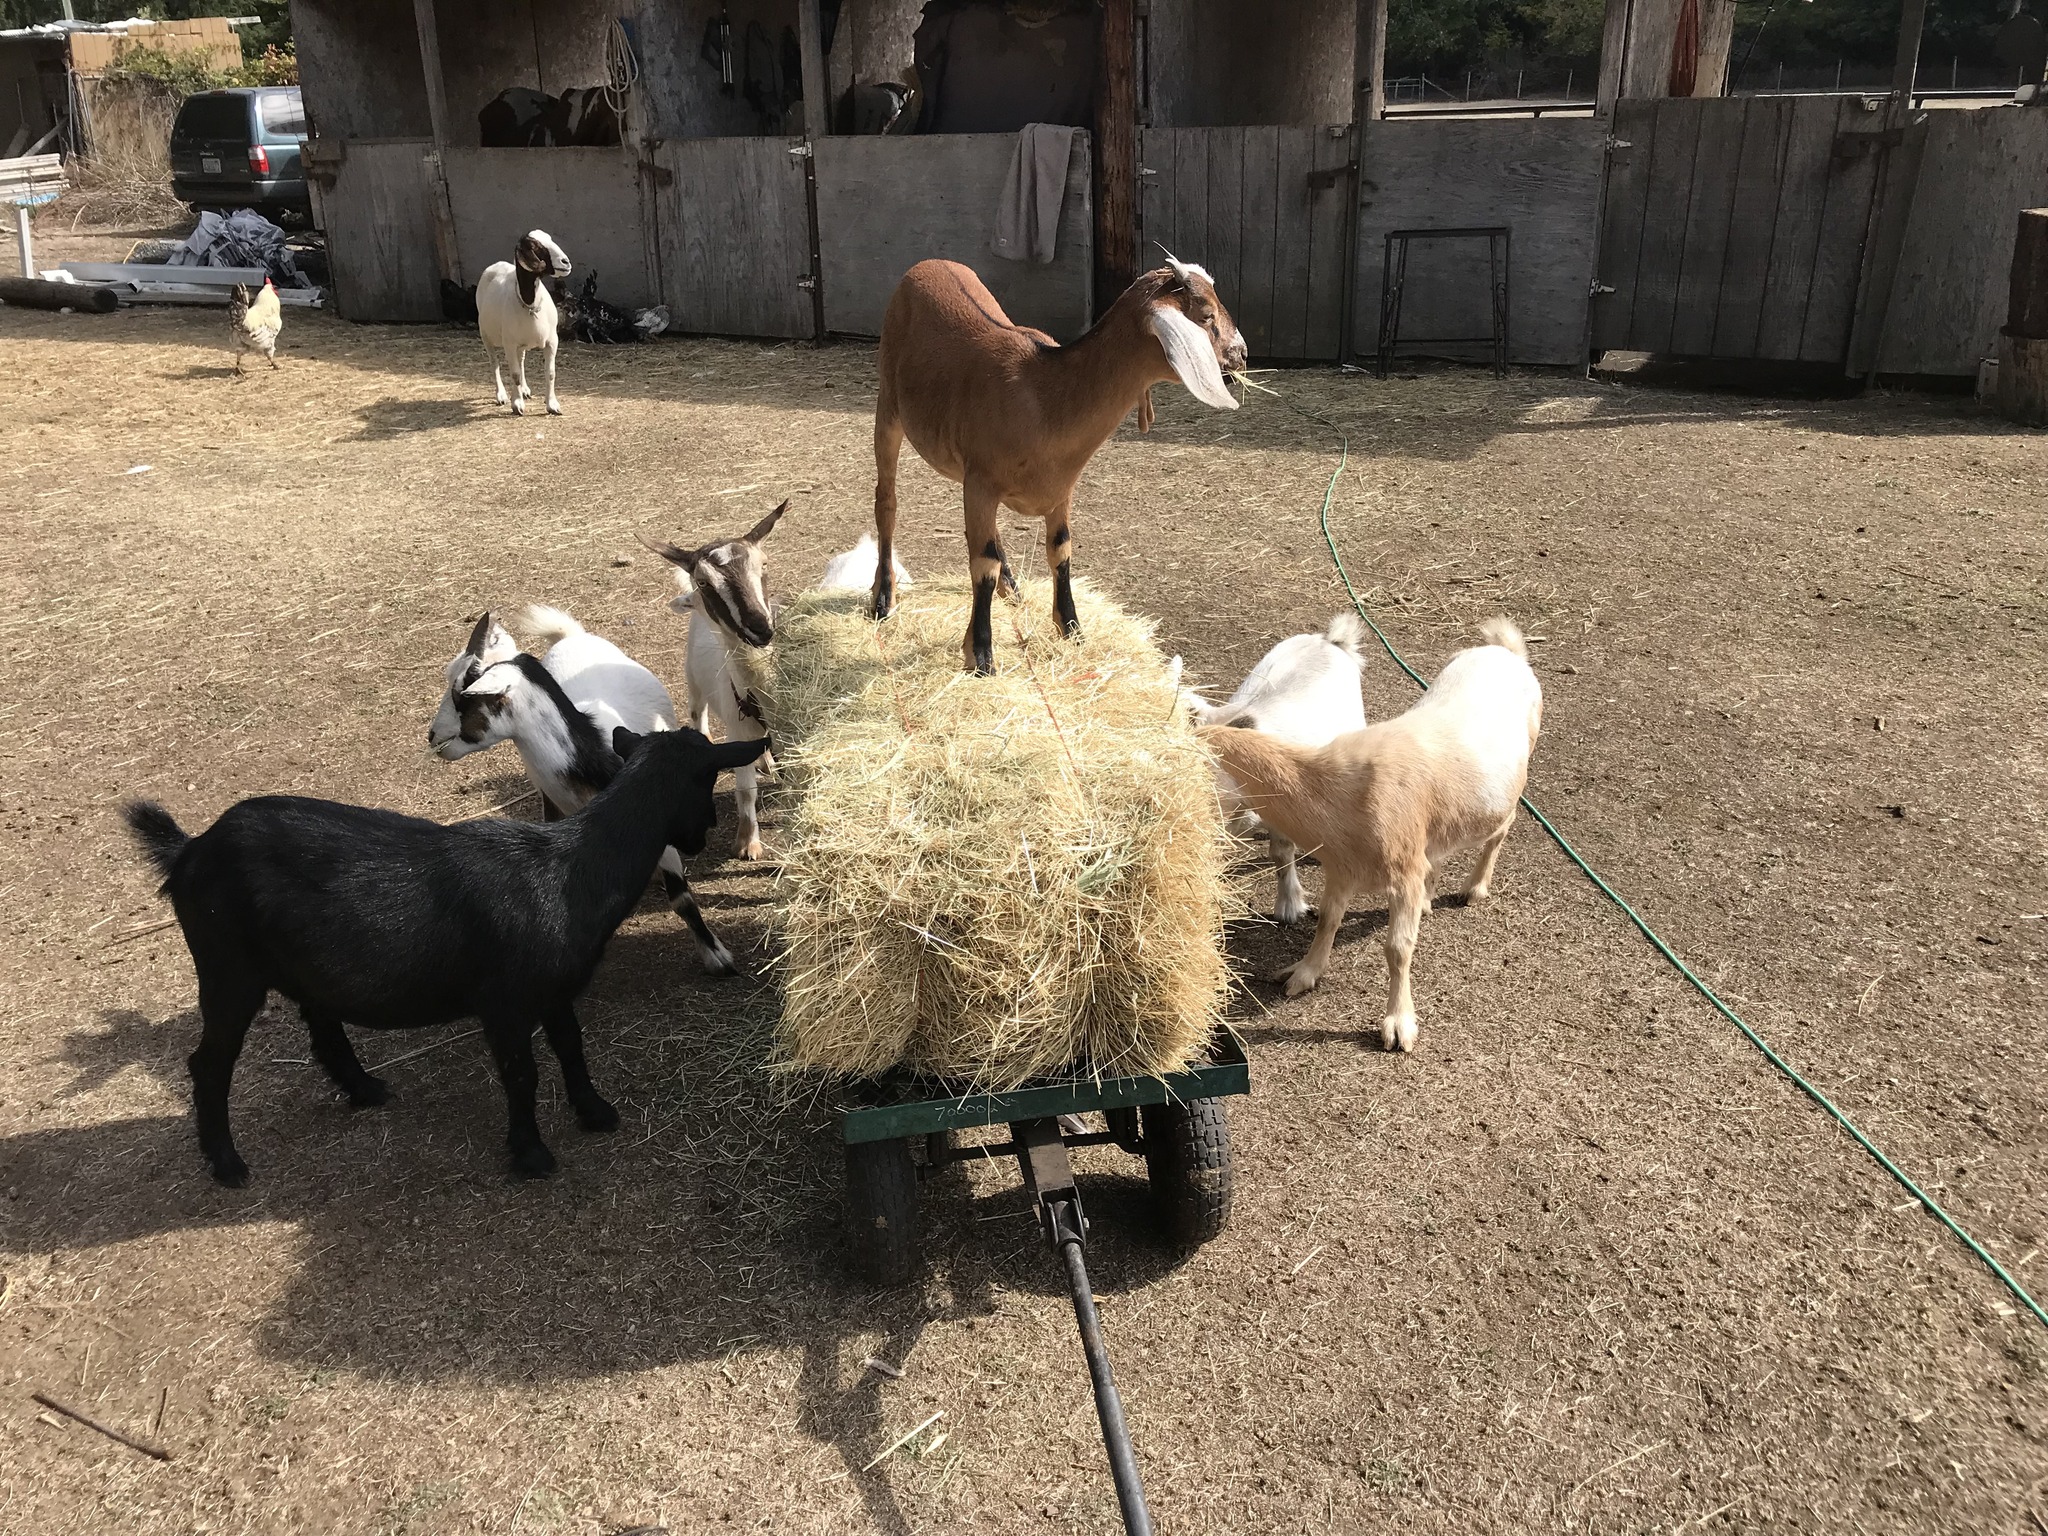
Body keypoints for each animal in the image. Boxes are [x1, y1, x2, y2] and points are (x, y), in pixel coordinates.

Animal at [125, 726, 770, 1185]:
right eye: (707, 782)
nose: (700, 838)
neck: (567, 871)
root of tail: (189, 850)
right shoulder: (504, 1000)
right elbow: (522, 1072)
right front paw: (532, 1154)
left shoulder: (554, 987)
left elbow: (571, 1047)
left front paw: (595, 1113)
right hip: (226, 966)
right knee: (208, 1063)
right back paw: (227, 1165)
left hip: (297, 964)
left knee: (321, 1025)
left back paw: (365, 1090)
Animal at [426, 608, 740, 975]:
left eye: (463, 694)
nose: (433, 737)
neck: (594, 752)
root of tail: (572, 636)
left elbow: (681, 897)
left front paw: (717, 957)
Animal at [477, 230, 571, 416]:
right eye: (534, 246)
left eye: (550, 239)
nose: (566, 262)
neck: (530, 305)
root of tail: (497, 264)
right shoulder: (509, 343)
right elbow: (514, 375)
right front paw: (517, 404)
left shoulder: (552, 341)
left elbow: (550, 373)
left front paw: (552, 405)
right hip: (486, 335)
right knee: (494, 363)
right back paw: (501, 395)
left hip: (520, 344)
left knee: (520, 362)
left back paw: (525, 390)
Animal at [644, 499, 786, 860]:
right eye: (705, 582)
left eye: (764, 564)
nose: (759, 628)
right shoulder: (736, 728)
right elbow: (745, 790)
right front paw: (747, 843)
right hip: (693, 682)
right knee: (699, 714)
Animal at [870, 255, 1247, 674]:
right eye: (1206, 315)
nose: (1242, 353)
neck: (1043, 394)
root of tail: (929, 263)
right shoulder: (982, 482)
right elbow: (983, 565)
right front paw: (981, 655)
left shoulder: (1058, 488)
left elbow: (1060, 551)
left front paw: (1072, 629)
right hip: (888, 407)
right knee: (887, 502)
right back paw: (883, 598)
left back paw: (1011, 588)